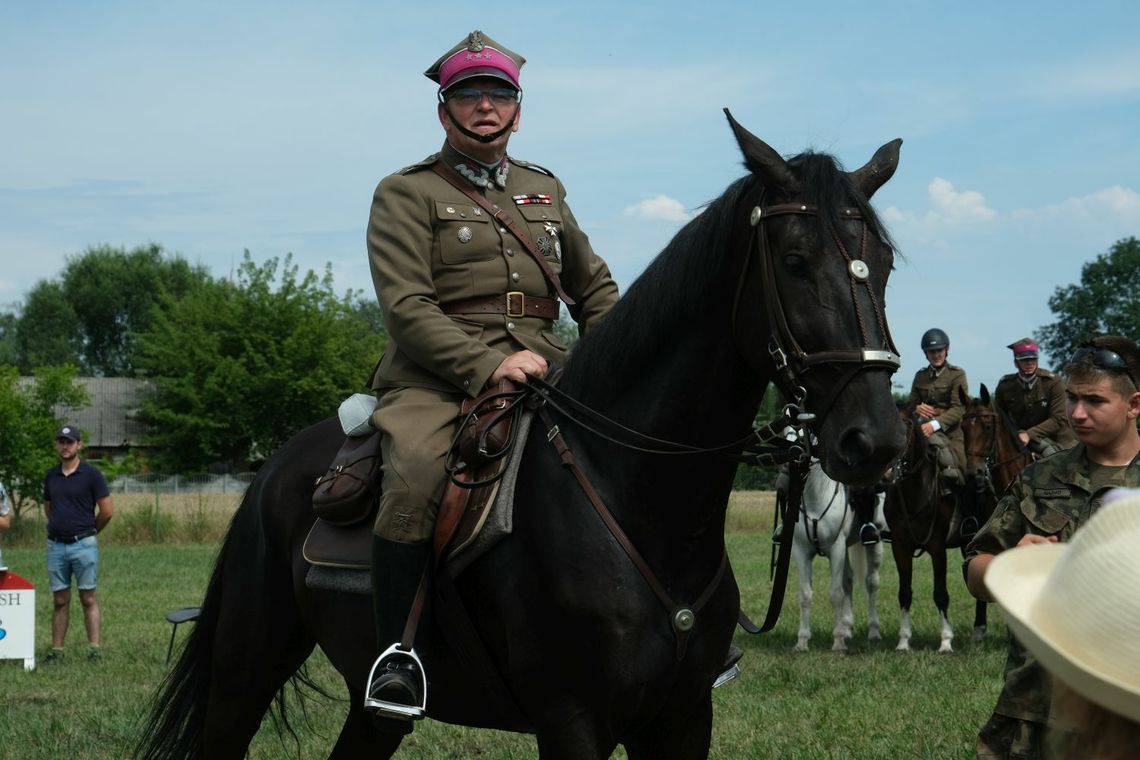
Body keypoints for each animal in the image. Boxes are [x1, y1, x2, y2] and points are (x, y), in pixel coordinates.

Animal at [793, 460, 880, 651]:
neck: (815, 495)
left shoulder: (836, 549)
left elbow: (835, 593)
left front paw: (838, 641)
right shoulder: (801, 551)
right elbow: (805, 595)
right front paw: (802, 641)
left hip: (874, 544)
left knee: (871, 583)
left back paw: (873, 632)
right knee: (848, 580)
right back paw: (847, 628)